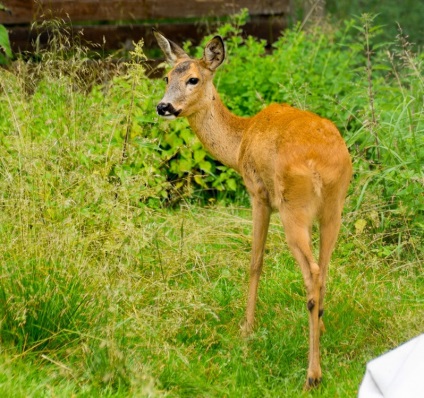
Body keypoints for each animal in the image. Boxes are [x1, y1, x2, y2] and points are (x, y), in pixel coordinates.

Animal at [152, 30, 352, 388]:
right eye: (166, 76)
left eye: (193, 79)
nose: (164, 107)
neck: (239, 140)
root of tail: (321, 167)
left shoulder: (258, 193)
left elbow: (255, 261)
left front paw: (246, 327)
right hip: (334, 208)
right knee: (326, 268)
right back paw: (320, 330)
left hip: (292, 207)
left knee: (312, 273)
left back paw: (312, 374)